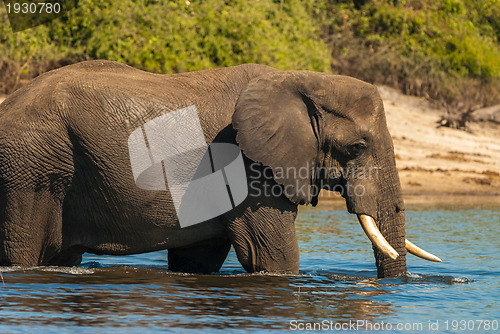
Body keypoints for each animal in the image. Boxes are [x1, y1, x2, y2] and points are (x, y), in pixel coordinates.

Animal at [0, 59, 438, 276]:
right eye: (358, 147)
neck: (301, 80)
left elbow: (199, 260)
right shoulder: (247, 166)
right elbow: (272, 256)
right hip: (30, 170)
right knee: (24, 252)